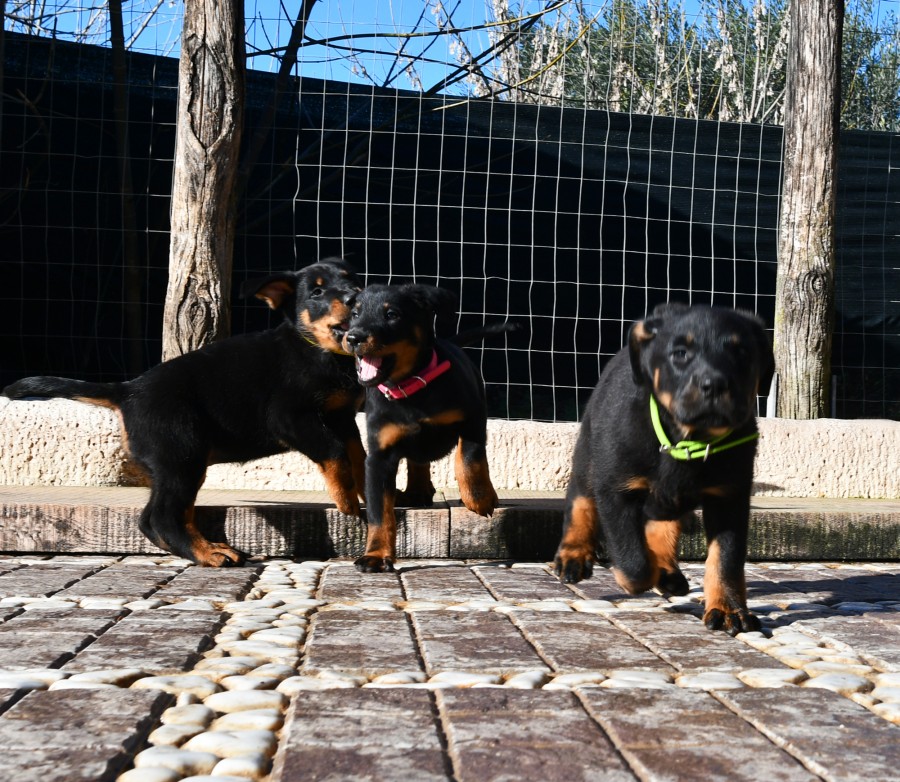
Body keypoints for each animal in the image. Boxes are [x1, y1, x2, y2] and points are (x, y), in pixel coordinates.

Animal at [3, 259, 366, 566]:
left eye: (353, 280)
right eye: (317, 292)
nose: (355, 297)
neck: (321, 353)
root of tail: (128, 389)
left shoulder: (342, 418)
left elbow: (357, 454)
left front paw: (364, 490)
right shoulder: (290, 417)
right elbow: (335, 451)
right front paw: (347, 501)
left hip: (177, 464)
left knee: (163, 518)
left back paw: (202, 548)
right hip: (182, 454)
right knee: (161, 517)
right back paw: (208, 554)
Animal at [342, 283, 508, 573]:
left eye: (392, 315)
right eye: (355, 314)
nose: (353, 337)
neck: (410, 387)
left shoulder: (473, 418)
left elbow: (470, 458)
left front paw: (479, 498)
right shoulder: (379, 456)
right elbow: (379, 512)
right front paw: (376, 556)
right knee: (417, 460)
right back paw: (418, 490)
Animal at [554, 302, 774, 634]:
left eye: (742, 353)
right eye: (680, 354)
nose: (715, 384)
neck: (689, 439)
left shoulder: (729, 496)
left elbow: (725, 559)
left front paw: (728, 609)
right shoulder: (616, 489)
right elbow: (633, 561)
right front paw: (636, 576)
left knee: (660, 521)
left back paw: (667, 570)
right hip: (588, 454)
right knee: (579, 501)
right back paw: (573, 556)